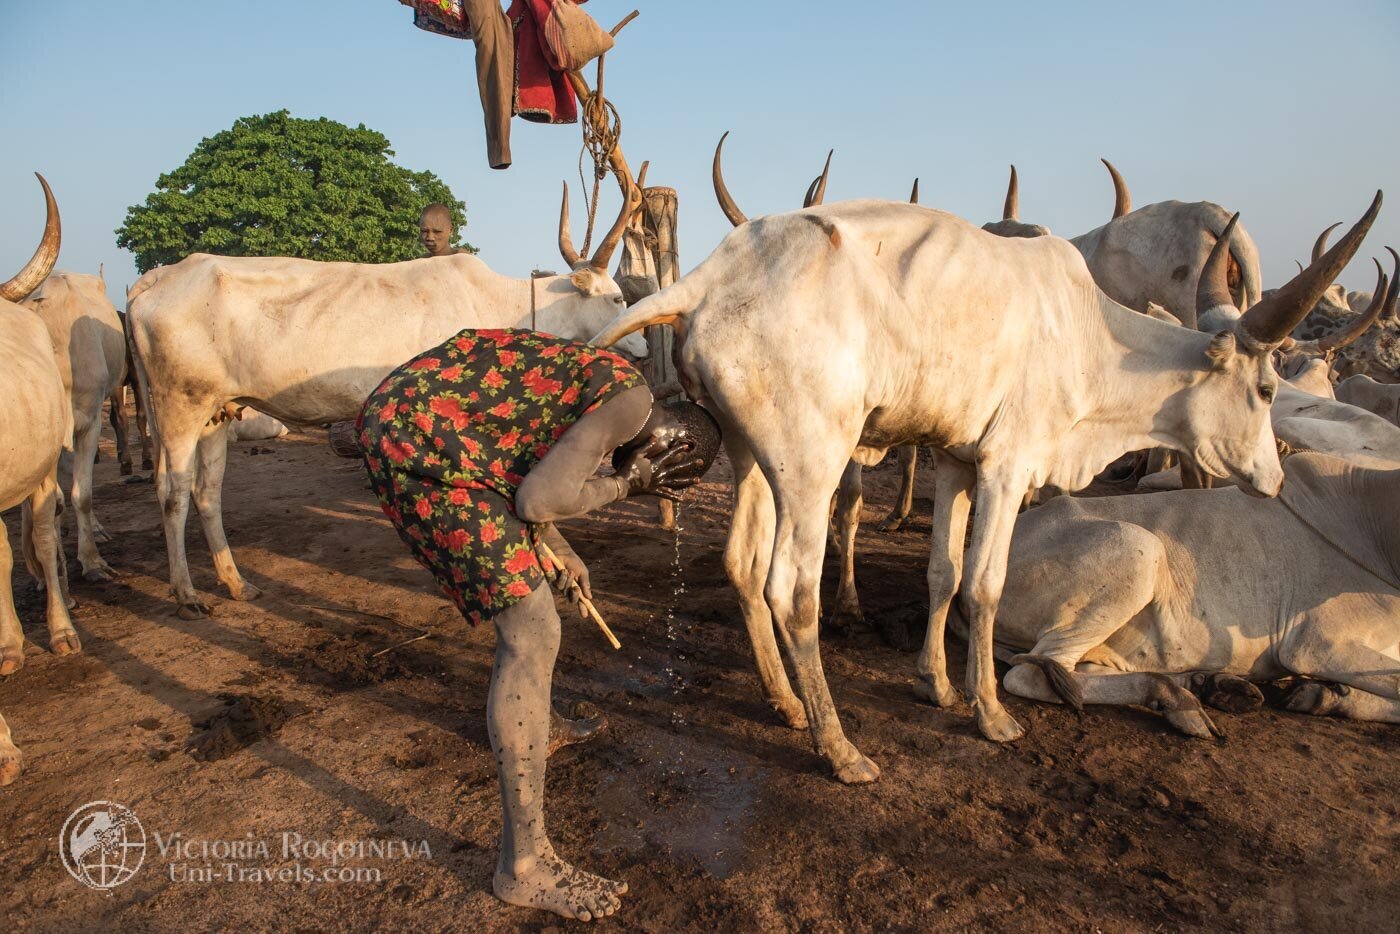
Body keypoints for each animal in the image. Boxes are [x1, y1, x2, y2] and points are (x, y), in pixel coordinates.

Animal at [128, 182, 646, 621]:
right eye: (617, 298)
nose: (642, 344)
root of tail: (158, 277)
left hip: (215, 413)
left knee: (207, 493)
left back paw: (235, 583)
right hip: (178, 405)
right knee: (173, 493)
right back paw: (186, 594)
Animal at [991, 453, 1394, 739]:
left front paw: (1327, 695)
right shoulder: (1314, 646)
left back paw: (1210, 685)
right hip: (1140, 549)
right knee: (1033, 673)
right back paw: (1176, 698)